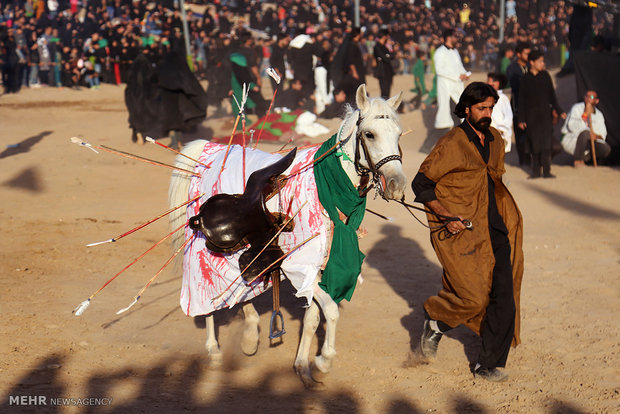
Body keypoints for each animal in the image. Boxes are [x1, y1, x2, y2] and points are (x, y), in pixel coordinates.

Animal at [168, 85, 406, 388]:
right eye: (370, 134)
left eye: (398, 134)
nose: (397, 185)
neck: (327, 189)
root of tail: (210, 151)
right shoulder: (298, 266)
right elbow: (331, 311)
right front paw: (324, 360)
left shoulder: (319, 267)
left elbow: (313, 318)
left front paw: (304, 367)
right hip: (205, 255)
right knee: (208, 300)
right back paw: (214, 351)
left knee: (243, 284)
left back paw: (250, 336)